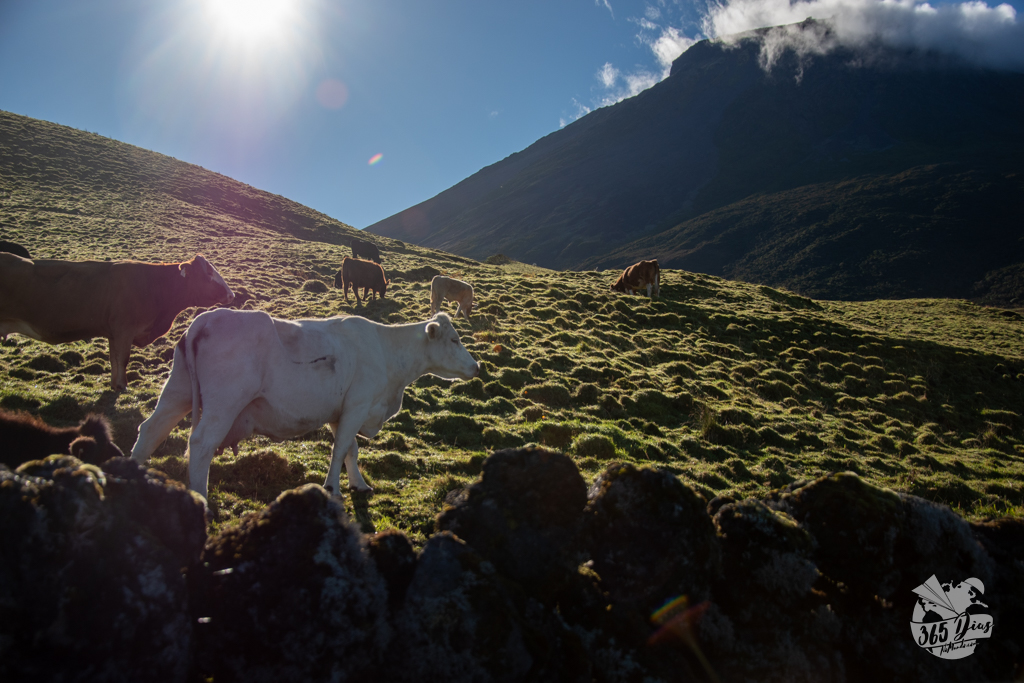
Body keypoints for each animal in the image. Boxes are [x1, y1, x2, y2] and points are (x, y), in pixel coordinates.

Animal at [0, 253, 234, 391]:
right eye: (208, 273)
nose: (231, 294)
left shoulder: (113, 334)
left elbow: (114, 359)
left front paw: (115, 385)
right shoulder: (124, 330)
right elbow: (123, 359)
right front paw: (122, 386)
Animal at [130, 309, 479, 500]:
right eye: (454, 340)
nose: (476, 366)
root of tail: (202, 321)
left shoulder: (342, 411)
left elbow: (350, 450)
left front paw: (359, 484)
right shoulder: (358, 405)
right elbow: (340, 450)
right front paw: (332, 487)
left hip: (176, 392)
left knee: (150, 430)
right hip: (224, 403)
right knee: (201, 443)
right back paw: (200, 496)